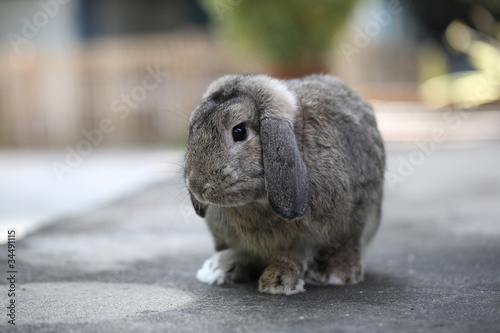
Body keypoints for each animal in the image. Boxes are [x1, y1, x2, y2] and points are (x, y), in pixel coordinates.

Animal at [186, 73, 384, 294]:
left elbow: (307, 255)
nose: (197, 186)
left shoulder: (331, 230)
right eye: (193, 128)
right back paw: (219, 268)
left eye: (239, 132)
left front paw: (281, 281)